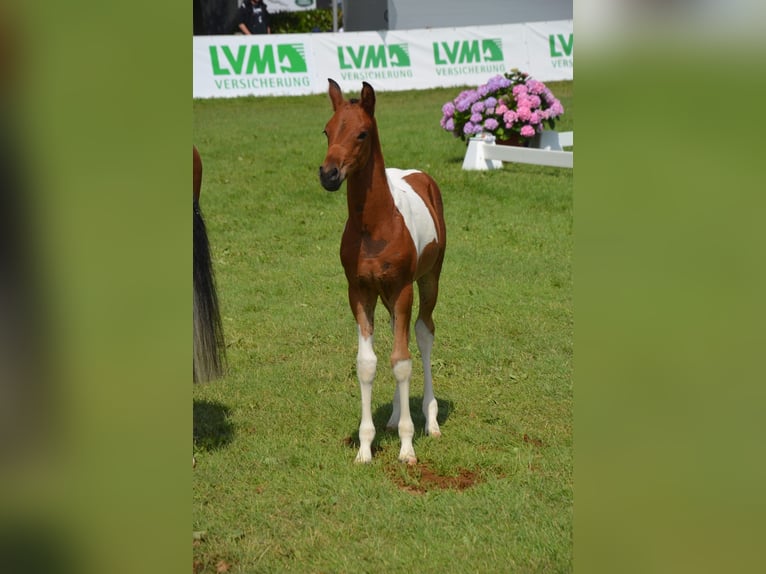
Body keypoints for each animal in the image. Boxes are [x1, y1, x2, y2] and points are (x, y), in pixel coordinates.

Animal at [320, 80, 450, 468]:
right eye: (327, 131)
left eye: (362, 133)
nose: (328, 174)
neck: (375, 226)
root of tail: (418, 174)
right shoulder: (359, 291)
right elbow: (368, 363)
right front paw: (365, 447)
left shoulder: (403, 288)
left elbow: (403, 362)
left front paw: (408, 448)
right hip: (388, 296)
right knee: (398, 333)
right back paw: (393, 416)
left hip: (428, 280)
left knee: (423, 333)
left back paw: (430, 420)